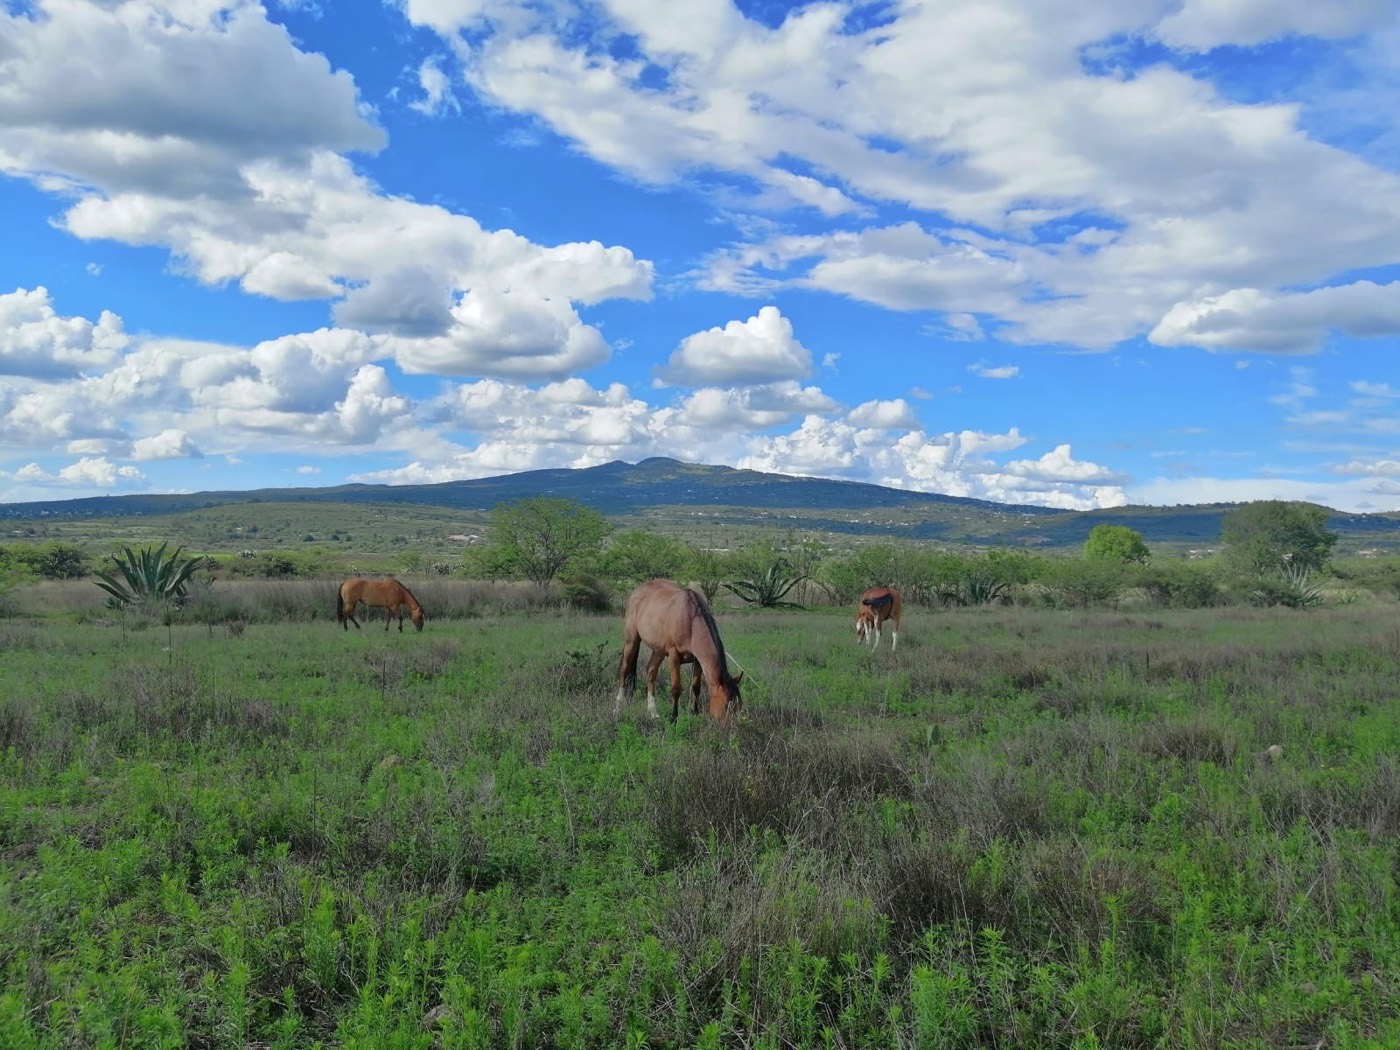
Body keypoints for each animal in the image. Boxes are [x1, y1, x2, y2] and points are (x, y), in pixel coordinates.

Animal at [616, 579, 743, 723]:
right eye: (728, 704)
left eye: (739, 704)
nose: (733, 726)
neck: (690, 620)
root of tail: (637, 591)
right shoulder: (673, 656)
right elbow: (676, 688)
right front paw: (673, 717)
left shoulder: (697, 661)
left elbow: (696, 687)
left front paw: (694, 712)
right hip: (632, 641)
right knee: (624, 670)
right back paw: (618, 707)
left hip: (658, 651)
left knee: (651, 672)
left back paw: (653, 712)